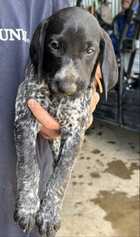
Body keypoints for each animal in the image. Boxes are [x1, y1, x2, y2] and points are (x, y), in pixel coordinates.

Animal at [13, 6, 117, 237]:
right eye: (54, 46)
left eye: (90, 50)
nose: (67, 87)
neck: (57, 99)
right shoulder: (25, 117)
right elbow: (29, 165)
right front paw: (28, 207)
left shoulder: (75, 133)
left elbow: (61, 174)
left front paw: (48, 213)